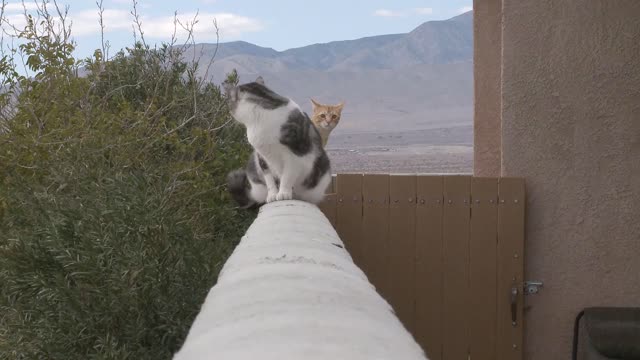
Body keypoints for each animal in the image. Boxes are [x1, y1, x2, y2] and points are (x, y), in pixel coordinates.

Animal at [224, 77, 330, 210]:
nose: (229, 112)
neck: (260, 118)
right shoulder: (262, 156)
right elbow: (269, 179)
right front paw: (273, 195)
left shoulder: (294, 155)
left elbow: (287, 176)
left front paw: (283, 193)